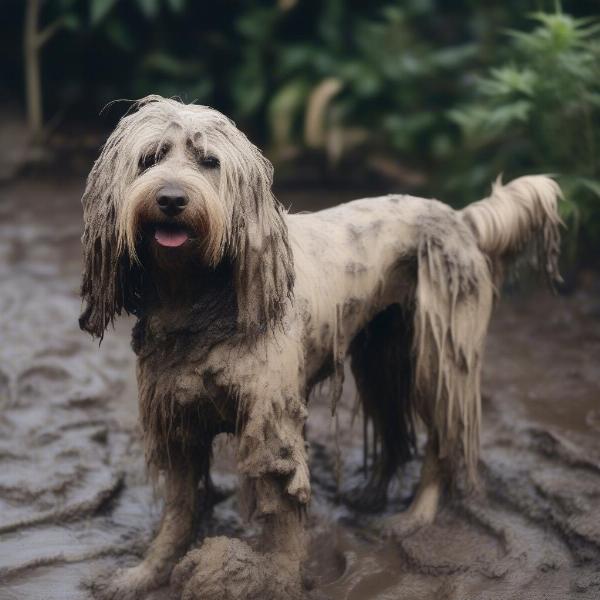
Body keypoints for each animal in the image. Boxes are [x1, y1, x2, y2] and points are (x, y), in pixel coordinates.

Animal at [79, 96, 564, 596]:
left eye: (209, 162)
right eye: (150, 158)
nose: (172, 199)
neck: (197, 297)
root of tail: (459, 218)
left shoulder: (272, 425)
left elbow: (283, 517)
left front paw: (281, 577)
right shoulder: (177, 420)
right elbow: (178, 512)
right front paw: (146, 572)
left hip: (437, 361)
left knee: (438, 445)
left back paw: (414, 517)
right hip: (381, 356)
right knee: (394, 430)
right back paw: (369, 496)